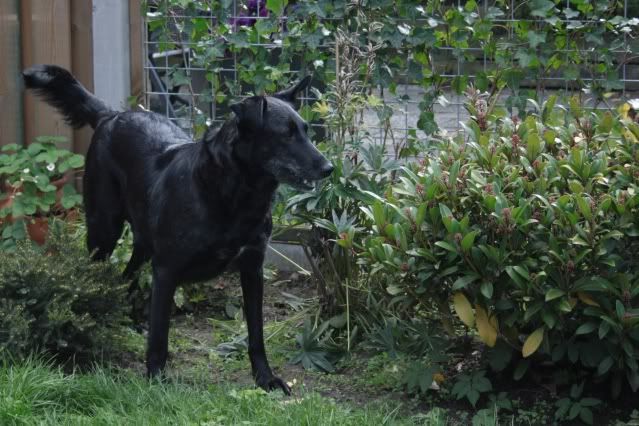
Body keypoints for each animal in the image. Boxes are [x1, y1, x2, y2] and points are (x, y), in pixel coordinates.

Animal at [23, 64, 333, 394]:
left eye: (306, 130)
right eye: (285, 135)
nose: (329, 168)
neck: (235, 194)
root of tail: (111, 115)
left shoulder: (252, 268)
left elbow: (256, 334)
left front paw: (265, 378)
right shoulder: (166, 270)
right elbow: (160, 337)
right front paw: (156, 381)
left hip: (143, 242)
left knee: (126, 277)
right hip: (102, 231)